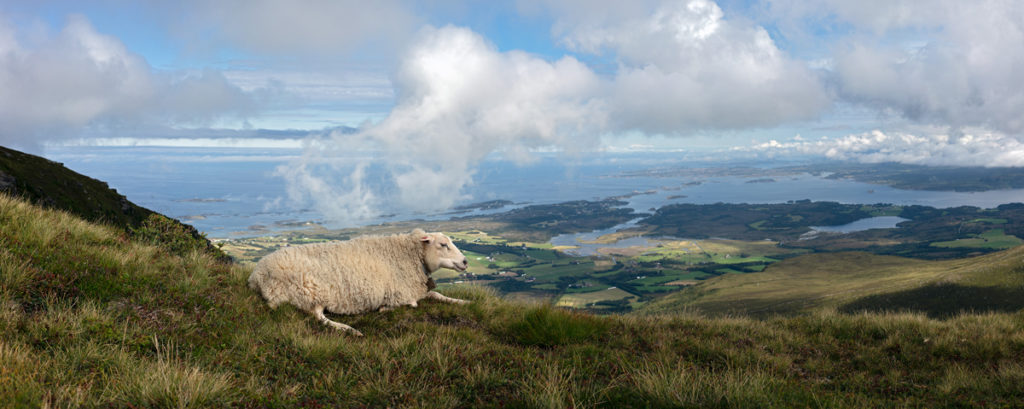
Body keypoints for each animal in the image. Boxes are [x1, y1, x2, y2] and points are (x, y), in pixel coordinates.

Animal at [247, 228, 471, 334]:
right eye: (443, 244)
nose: (465, 261)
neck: (408, 256)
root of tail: (256, 276)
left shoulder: (416, 289)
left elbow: (436, 293)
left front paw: (463, 301)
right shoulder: (401, 293)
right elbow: (414, 303)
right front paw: (385, 308)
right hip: (309, 292)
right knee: (318, 317)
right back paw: (351, 330)